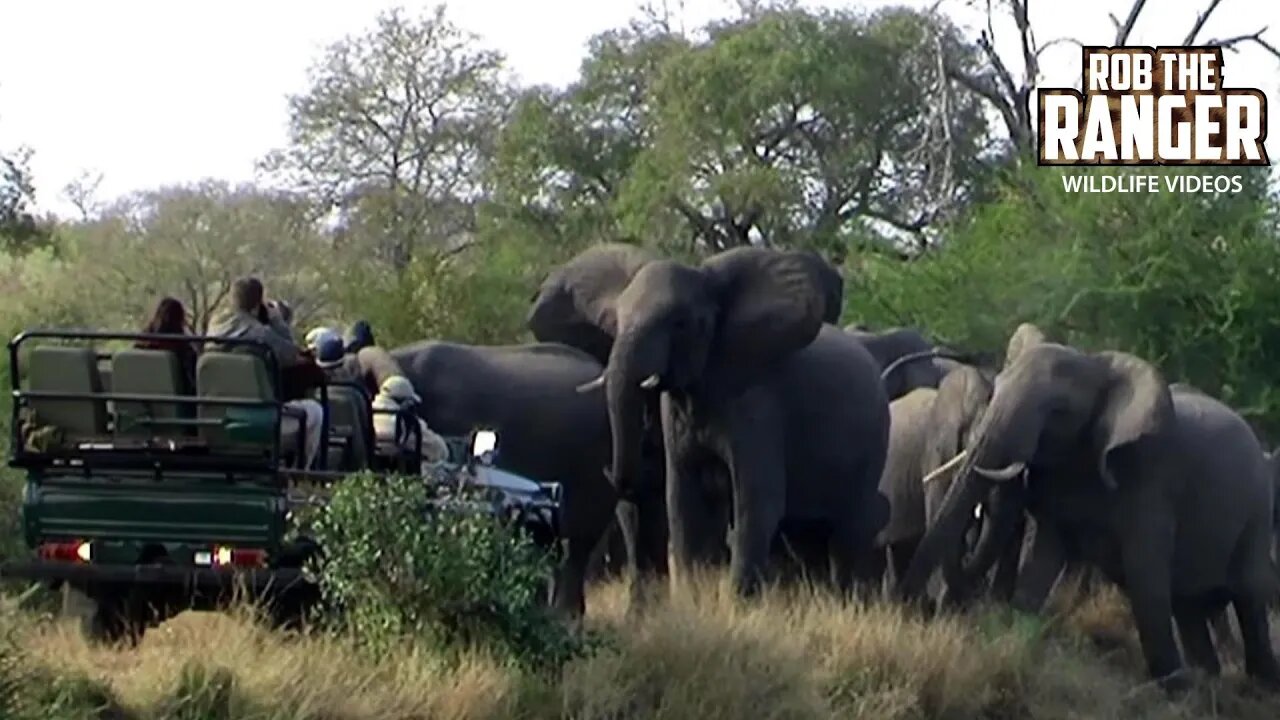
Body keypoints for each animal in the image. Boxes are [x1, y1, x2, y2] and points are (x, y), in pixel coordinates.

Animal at [527, 240, 890, 594]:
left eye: (681, 324)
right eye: (614, 323)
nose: (610, 470)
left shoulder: (758, 403)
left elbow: (756, 503)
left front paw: (738, 605)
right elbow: (683, 502)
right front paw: (694, 597)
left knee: (848, 535)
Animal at [901, 327, 1280, 686]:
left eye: (1057, 411)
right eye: (995, 392)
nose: (913, 610)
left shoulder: (1152, 477)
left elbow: (1146, 574)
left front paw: (1174, 684)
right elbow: (1044, 557)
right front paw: (1017, 637)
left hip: (1257, 510)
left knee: (1247, 594)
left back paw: (1257, 682)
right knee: (1189, 605)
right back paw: (1208, 678)